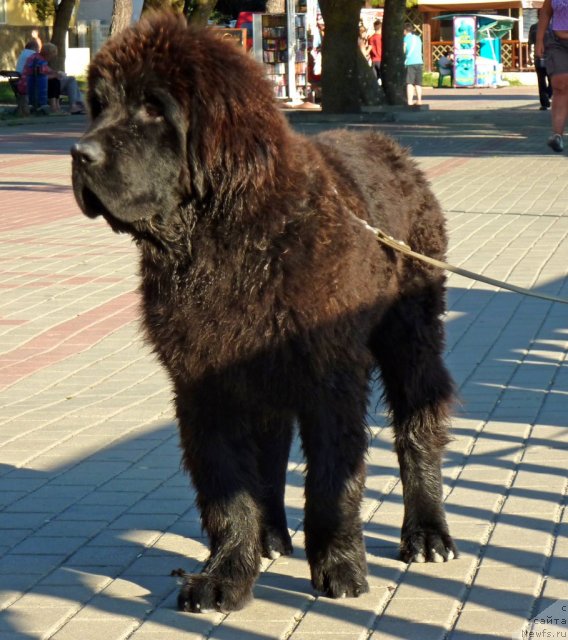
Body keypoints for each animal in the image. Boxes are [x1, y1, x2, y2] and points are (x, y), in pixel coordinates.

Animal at [72, 12, 458, 616]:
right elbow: (228, 484)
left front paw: (340, 566)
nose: (79, 153)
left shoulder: (330, 376)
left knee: (419, 426)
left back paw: (427, 532)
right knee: (273, 451)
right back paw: (271, 535)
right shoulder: (204, 380)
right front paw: (226, 572)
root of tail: (388, 146)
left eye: (154, 108)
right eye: (98, 104)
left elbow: (331, 478)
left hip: (410, 338)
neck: (227, 244)